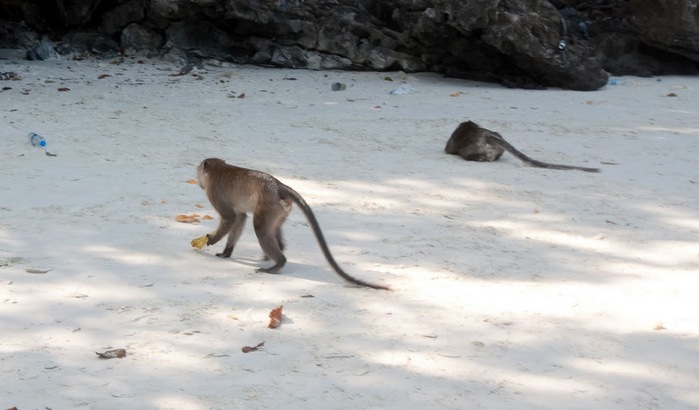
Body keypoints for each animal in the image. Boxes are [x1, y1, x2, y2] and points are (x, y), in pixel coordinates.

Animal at [191, 156, 388, 288]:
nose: (199, 181)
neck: (218, 170)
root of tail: (279, 186)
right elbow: (239, 218)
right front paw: (227, 252)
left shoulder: (213, 192)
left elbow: (230, 217)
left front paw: (211, 239)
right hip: (279, 210)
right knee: (271, 229)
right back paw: (276, 253)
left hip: (269, 206)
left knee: (261, 228)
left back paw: (278, 263)